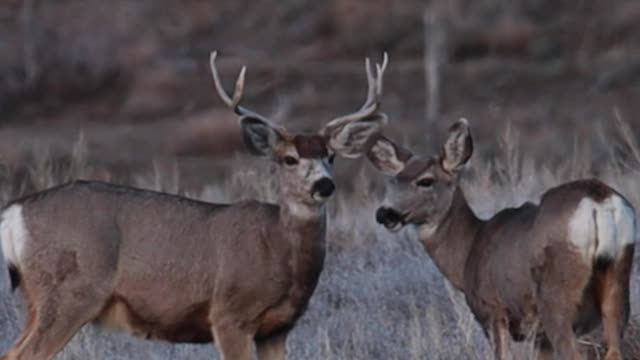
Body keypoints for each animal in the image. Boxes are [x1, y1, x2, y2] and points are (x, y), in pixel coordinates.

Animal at [0, 51, 388, 360]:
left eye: (331, 156)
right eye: (289, 159)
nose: (324, 185)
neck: (277, 247)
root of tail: (14, 212)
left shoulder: (278, 328)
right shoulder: (229, 315)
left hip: (38, 298)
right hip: (69, 292)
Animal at [370, 119, 636, 360]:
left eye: (426, 180)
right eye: (393, 181)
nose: (384, 213)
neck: (467, 252)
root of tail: (599, 199)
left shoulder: (492, 310)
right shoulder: (539, 337)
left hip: (556, 298)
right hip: (618, 280)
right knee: (614, 350)